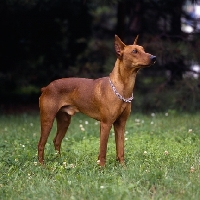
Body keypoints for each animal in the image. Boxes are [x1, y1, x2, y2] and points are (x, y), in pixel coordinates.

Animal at [37, 35, 156, 166]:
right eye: (134, 51)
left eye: (143, 49)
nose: (154, 58)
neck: (122, 88)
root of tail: (46, 87)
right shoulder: (105, 124)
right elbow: (103, 149)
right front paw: (102, 167)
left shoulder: (120, 124)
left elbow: (120, 149)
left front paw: (123, 167)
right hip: (48, 119)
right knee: (41, 144)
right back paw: (41, 165)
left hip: (64, 121)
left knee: (56, 140)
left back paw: (60, 161)